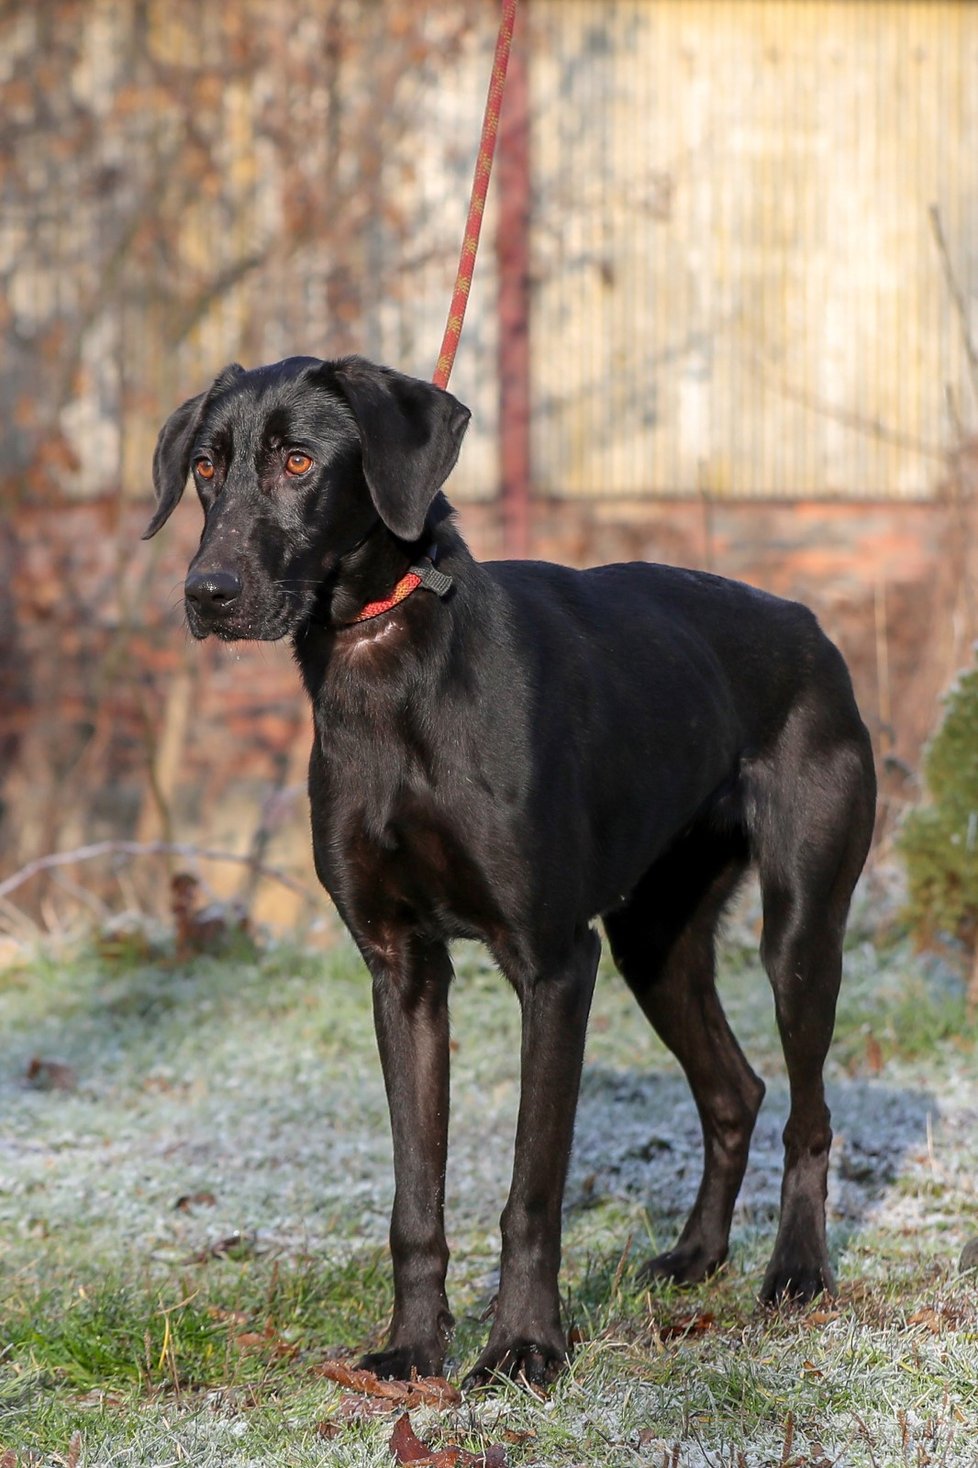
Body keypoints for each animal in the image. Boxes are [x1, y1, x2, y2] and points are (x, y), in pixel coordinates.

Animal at [146, 358, 875, 1385]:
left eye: (298, 461)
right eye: (206, 467)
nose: (206, 591)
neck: (388, 662)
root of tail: (809, 623)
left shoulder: (555, 965)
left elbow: (532, 1189)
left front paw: (526, 1347)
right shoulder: (402, 971)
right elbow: (416, 1196)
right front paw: (415, 1347)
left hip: (800, 929)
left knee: (806, 1108)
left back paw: (798, 1272)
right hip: (655, 943)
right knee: (736, 1092)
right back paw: (697, 1256)